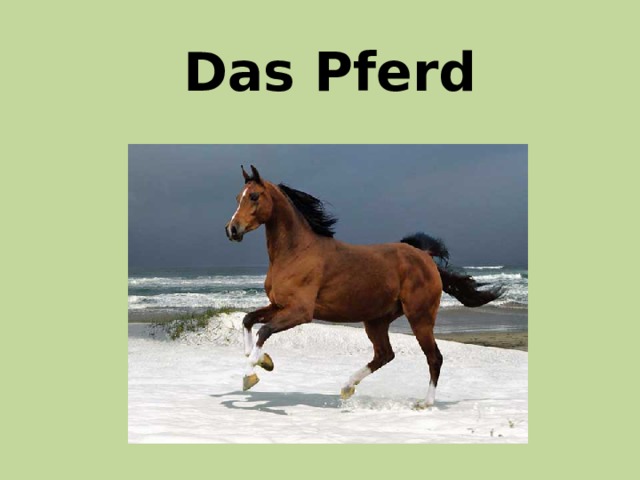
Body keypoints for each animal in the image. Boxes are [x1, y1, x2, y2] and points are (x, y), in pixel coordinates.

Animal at [224, 165, 502, 408]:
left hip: (419, 317)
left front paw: (250, 374)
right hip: (376, 320)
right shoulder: (279, 305)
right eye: (238, 197)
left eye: (254, 196)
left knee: (434, 357)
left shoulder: (301, 312)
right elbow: (248, 320)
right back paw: (347, 387)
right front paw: (261, 360)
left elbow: (264, 331)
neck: (295, 252)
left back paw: (425, 403)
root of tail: (425, 257)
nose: (232, 229)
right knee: (385, 354)